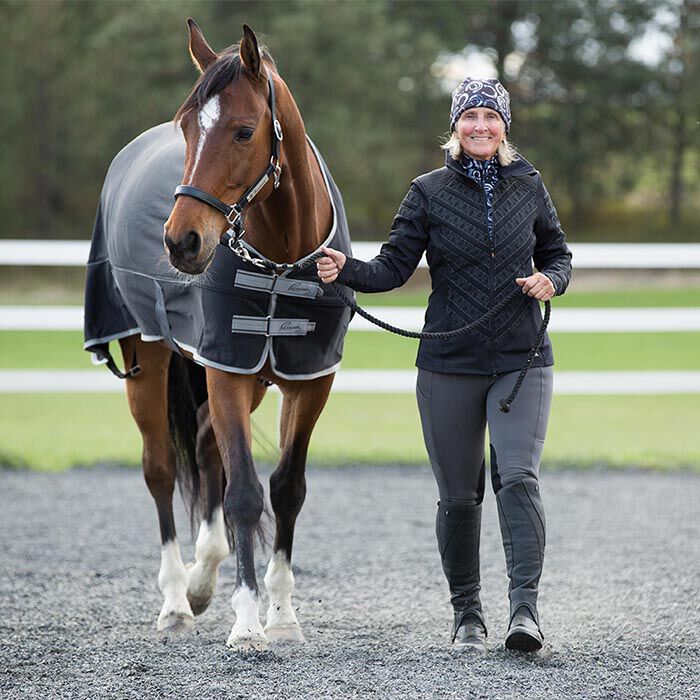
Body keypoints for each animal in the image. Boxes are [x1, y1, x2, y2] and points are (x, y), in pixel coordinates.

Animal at [83, 21, 353, 651]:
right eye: (186, 126)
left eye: (244, 130)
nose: (181, 241)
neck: (280, 257)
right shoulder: (227, 369)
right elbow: (245, 494)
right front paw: (249, 622)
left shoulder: (308, 380)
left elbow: (286, 488)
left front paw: (281, 614)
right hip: (148, 355)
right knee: (160, 468)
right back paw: (177, 600)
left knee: (207, 449)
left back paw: (204, 578)